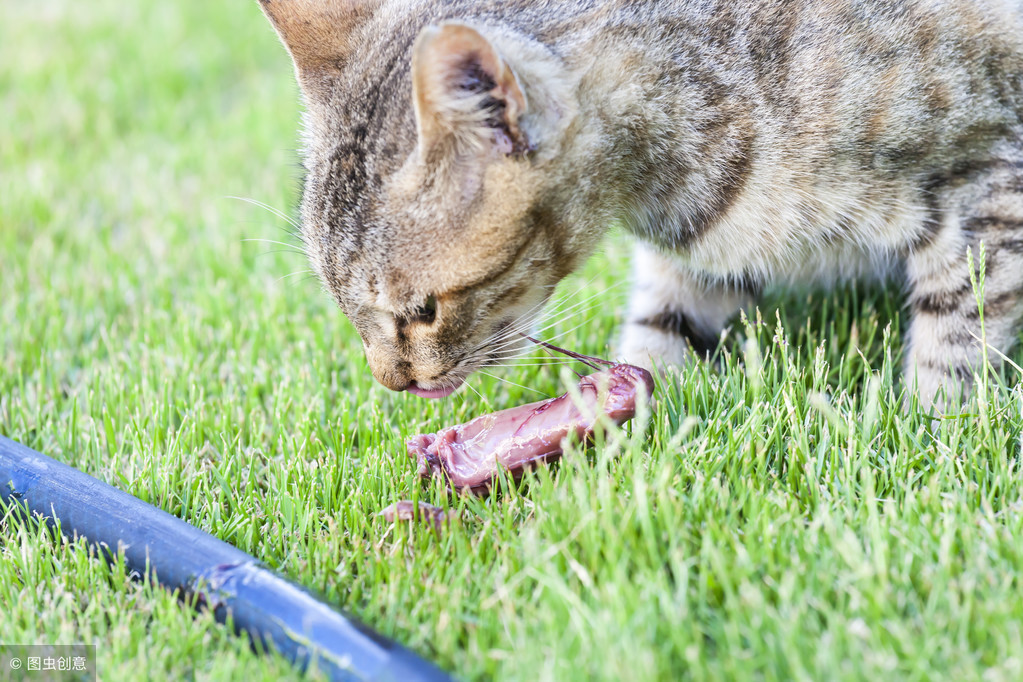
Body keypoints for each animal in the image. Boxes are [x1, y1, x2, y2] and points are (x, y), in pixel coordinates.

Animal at [257, 0, 1023, 408]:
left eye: (422, 311)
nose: (391, 384)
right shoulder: (699, 258)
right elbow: (662, 327)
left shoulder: (983, 178)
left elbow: (956, 332)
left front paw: (927, 425)